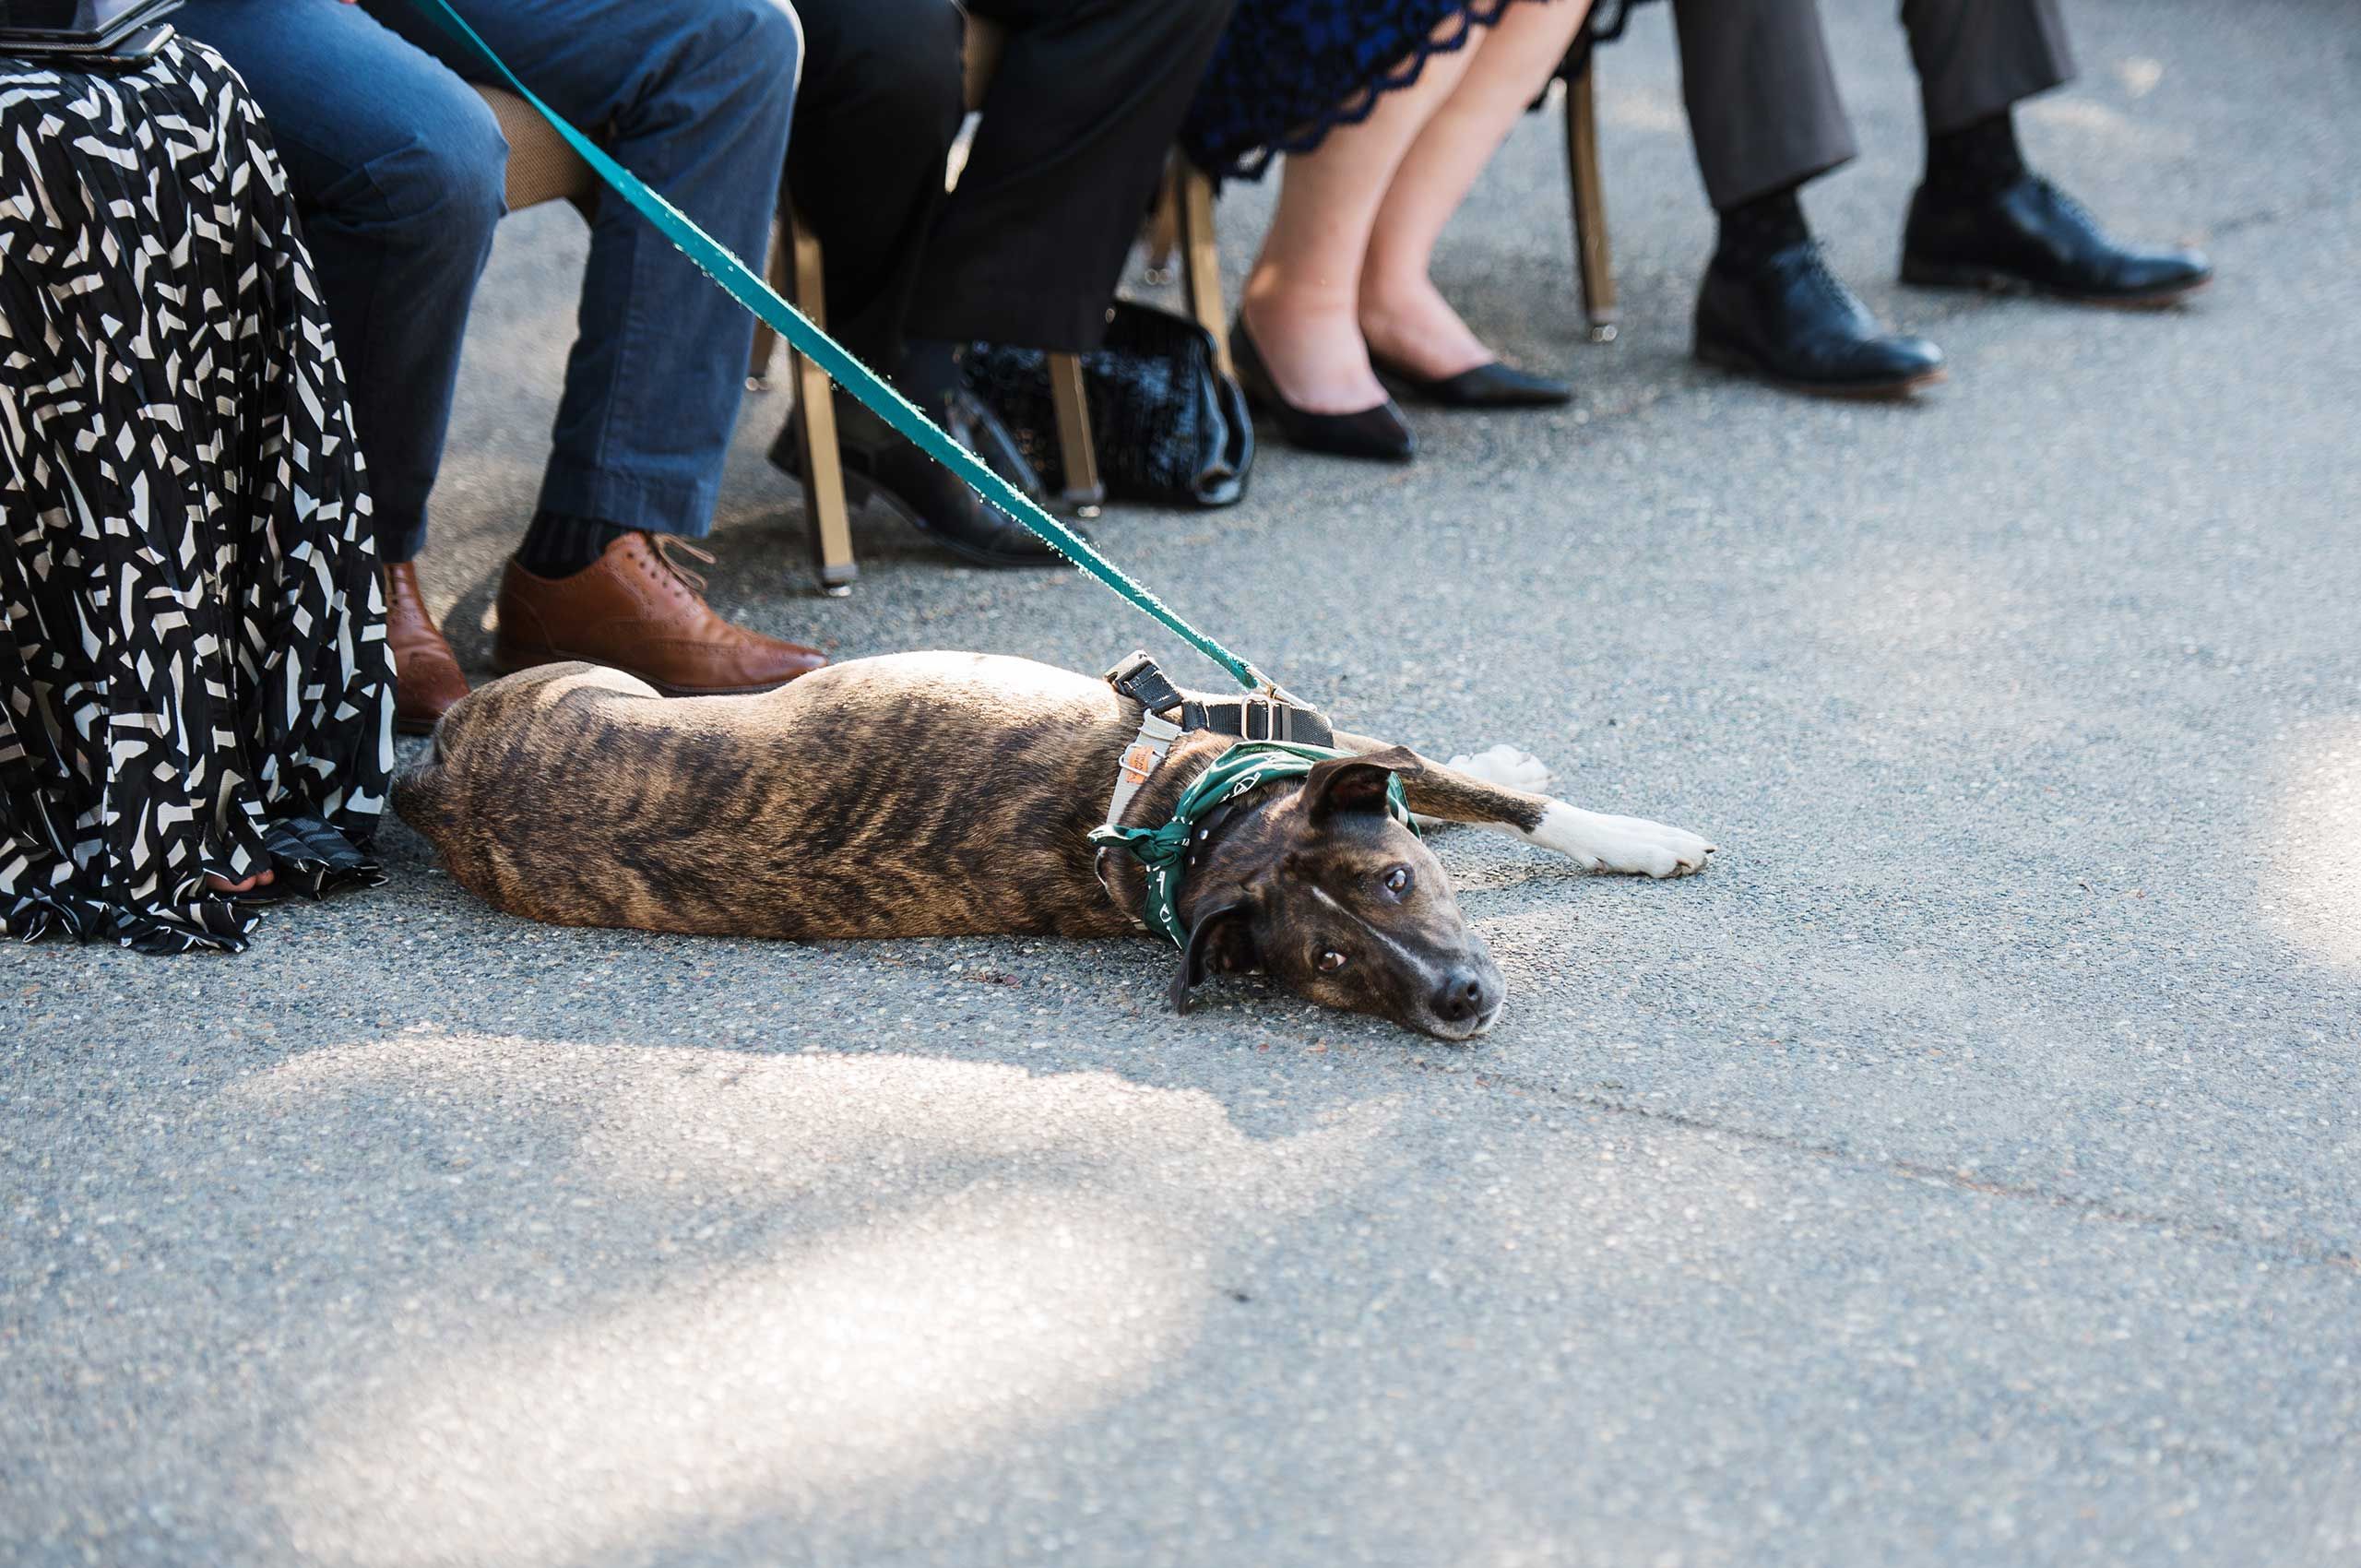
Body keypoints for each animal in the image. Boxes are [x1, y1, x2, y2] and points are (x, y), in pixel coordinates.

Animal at [391, 651, 1718, 1039]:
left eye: (1397, 881)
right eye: (1330, 965)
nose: (1456, 1000)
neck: (1191, 818)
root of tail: (433, 781)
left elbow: (1459, 795)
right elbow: (1474, 792)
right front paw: (1633, 836)